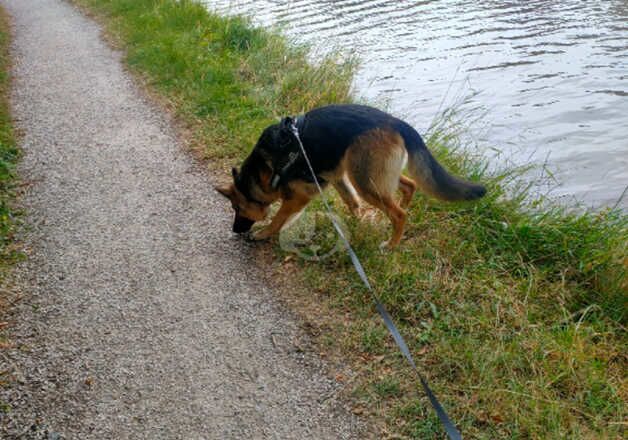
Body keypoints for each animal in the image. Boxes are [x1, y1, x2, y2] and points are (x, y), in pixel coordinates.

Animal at [216, 103, 486, 248]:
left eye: (237, 208)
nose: (235, 230)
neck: (262, 170)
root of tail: (396, 122)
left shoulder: (299, 196)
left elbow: (278, 218)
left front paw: (263, 234)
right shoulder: (336, 178)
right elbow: (351, 202)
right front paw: (355, 227)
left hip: (365, 180)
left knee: (399, 214)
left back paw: (391, 245)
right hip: (368, 174)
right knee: (409, 186)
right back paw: (402, 209)